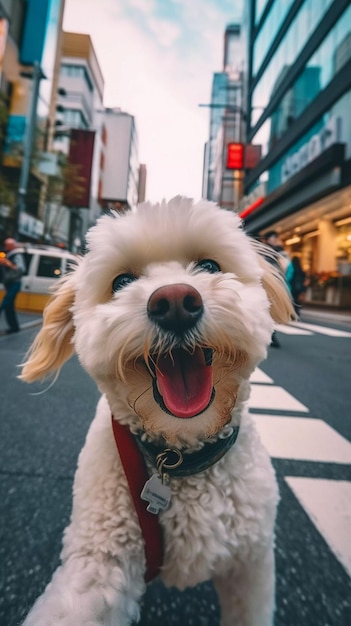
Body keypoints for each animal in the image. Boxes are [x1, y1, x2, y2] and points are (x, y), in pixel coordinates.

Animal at [20, 199, 292, 624]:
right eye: (120, 282)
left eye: (209, 266)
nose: (176, 301)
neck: (180, 457)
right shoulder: (101, 560)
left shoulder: (251, 563)